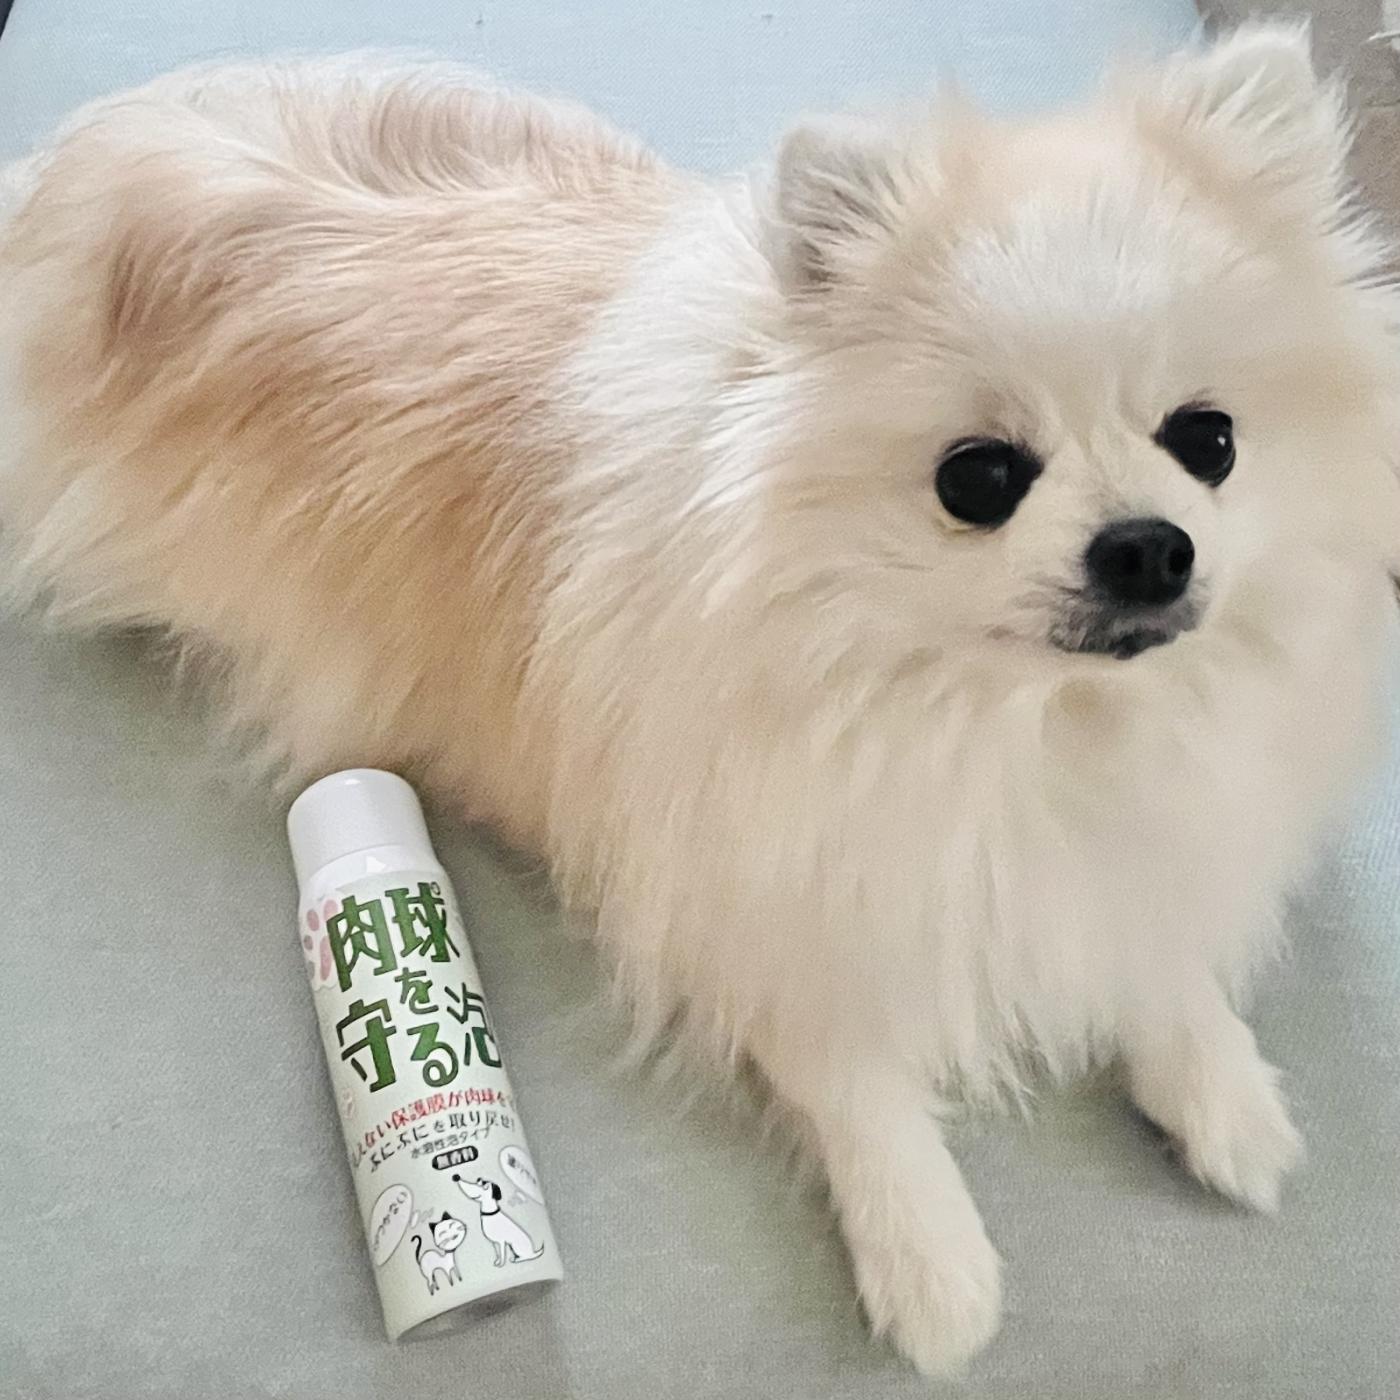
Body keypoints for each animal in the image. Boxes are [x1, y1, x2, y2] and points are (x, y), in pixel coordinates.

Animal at [2, 24, 1398, 1373]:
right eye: (978, 477)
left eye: (1207, 440)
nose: (1147, 546)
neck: (1022, 721)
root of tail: (95, 160)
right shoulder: (757, 894)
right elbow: (855, 1079)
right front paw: (930, 1263)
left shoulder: (1111, 841)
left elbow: (1152, 939)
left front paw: (1224, 1090)